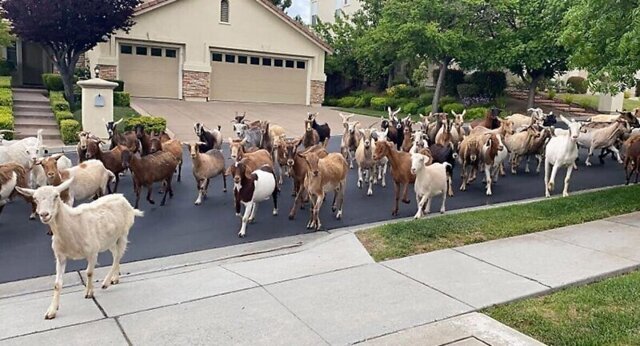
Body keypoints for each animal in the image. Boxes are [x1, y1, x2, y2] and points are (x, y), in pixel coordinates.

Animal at [15, 180, 144, 320]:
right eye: (35, 199)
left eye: (56, 196)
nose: (44, 214)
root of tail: (124, 199)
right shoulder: (60, 256)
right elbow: (57, 284)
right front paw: (52, 311)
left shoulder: (92, 252)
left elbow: (89, 272)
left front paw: (89, 292)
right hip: (109, 239)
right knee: (116, 255)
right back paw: (115, 278)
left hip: (123, 233)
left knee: (118, 256)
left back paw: (106, 283)